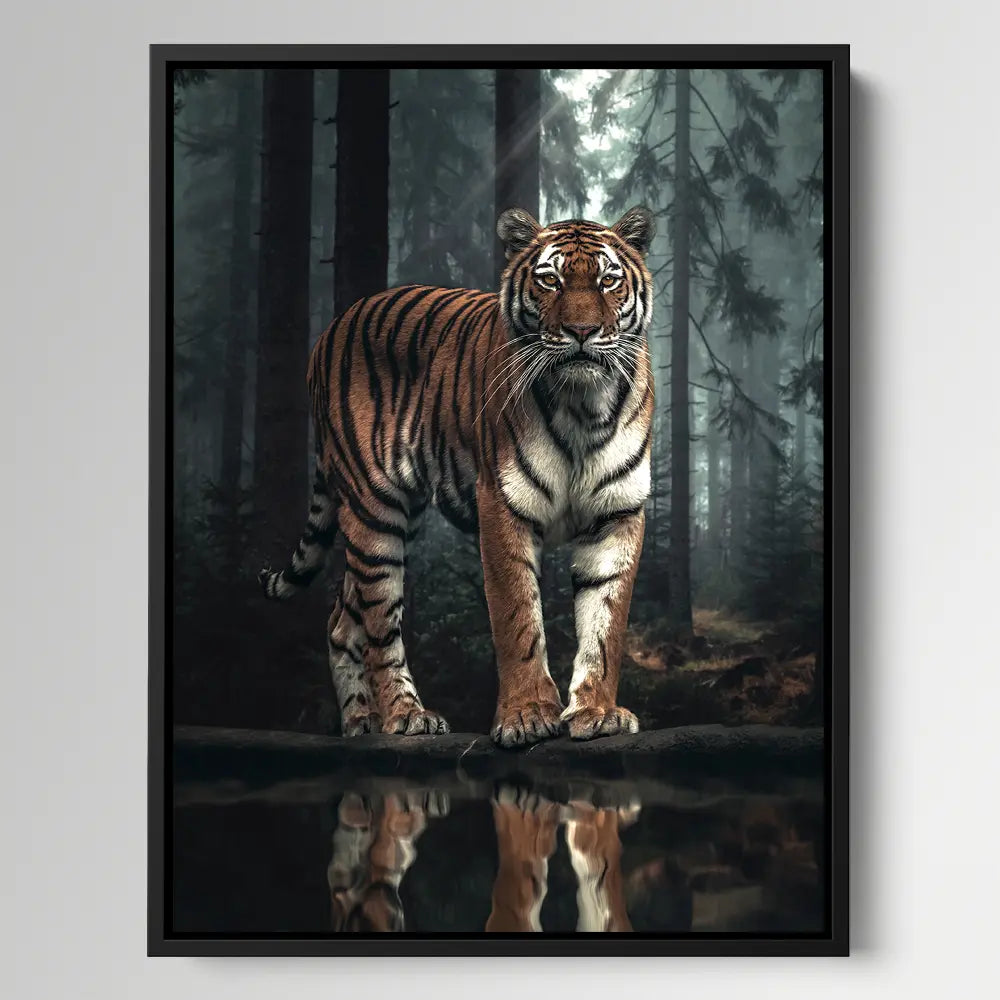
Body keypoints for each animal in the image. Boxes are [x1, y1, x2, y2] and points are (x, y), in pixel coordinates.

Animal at [259, 206, 655, 747]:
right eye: (549, 280)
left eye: (608, 280)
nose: (581, 331)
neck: (584, 405)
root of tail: (331, 327)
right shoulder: (503, 504)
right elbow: (517, 617)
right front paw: (527, 716)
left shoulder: (616, 514)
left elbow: (605, 623)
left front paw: (597, 712)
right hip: (373, 510)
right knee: (379, 623)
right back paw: (405, 716)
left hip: (398, 515)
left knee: (343, 618)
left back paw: (360, 724)